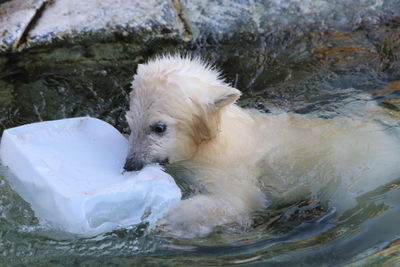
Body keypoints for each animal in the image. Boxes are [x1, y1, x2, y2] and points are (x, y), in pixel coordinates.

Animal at [124, 54, 400, 239]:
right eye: (130, 121)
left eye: (159, 127)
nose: (130, 164)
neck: (218, 141)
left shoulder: (227, 167)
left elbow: (242, 199)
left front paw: (170, 221)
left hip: (360, 174)